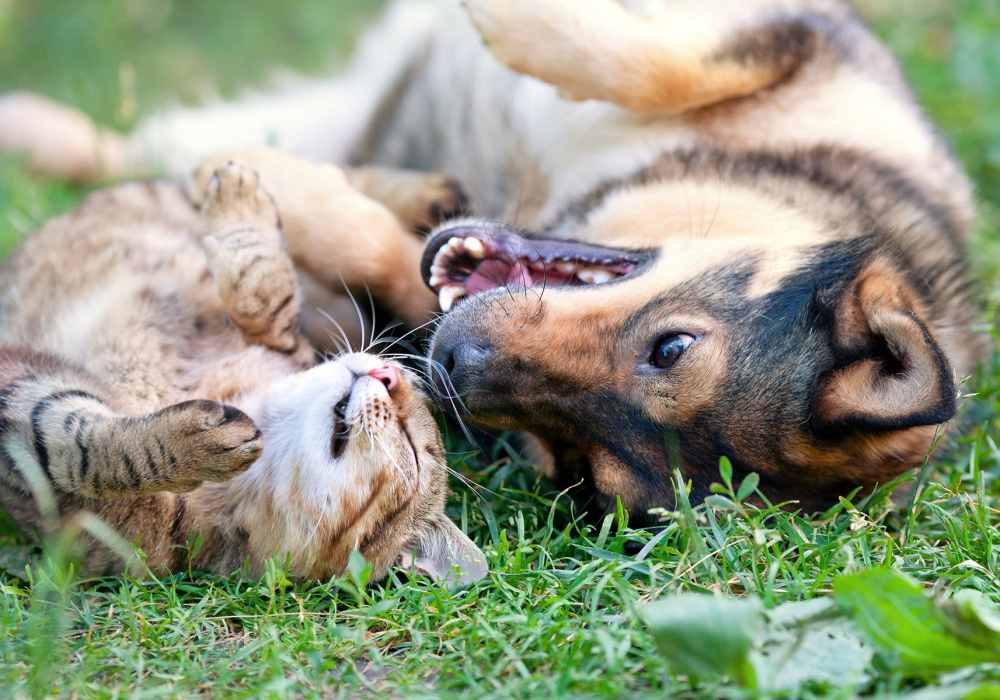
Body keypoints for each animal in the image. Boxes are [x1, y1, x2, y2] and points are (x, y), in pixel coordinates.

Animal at [0, 1, 988, 520]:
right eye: (670, 347)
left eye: (579, 464)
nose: (452, 362)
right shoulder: (796, 38)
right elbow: (662, 59)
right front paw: (510, 21)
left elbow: (377, 249)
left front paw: (287, 192)